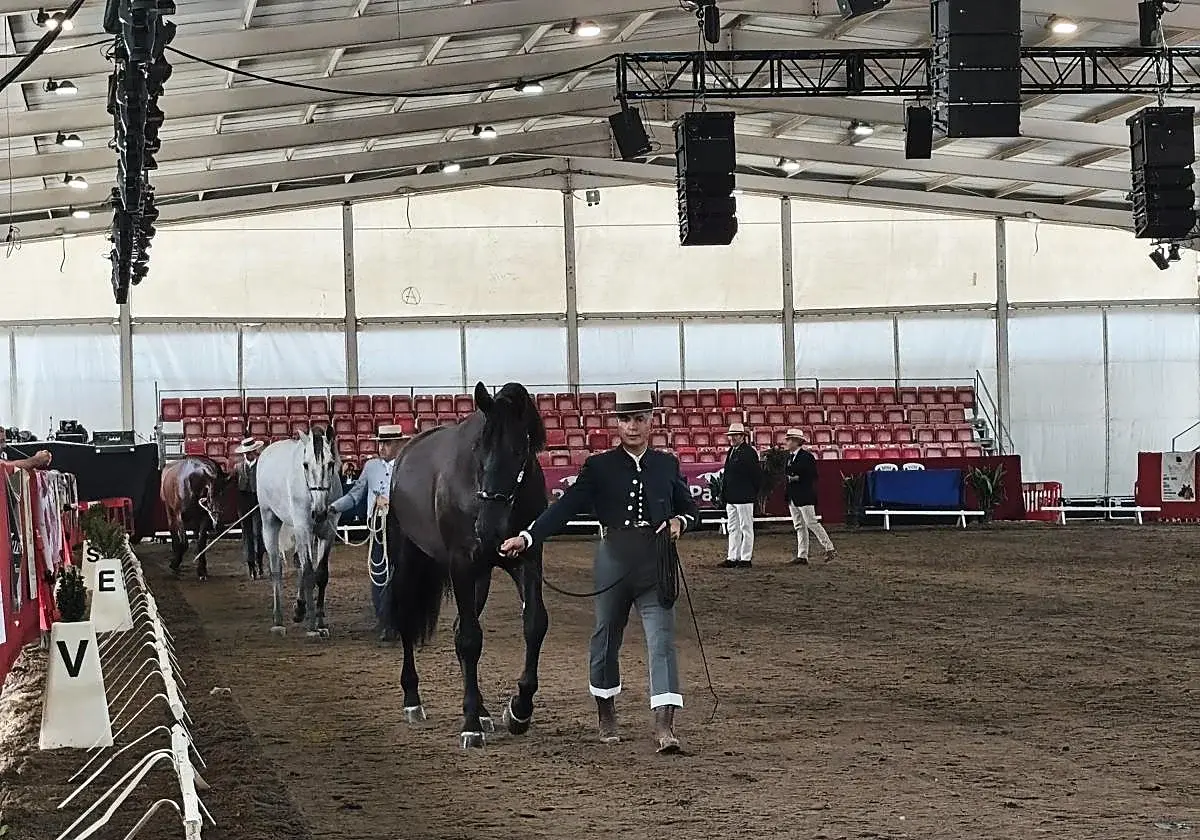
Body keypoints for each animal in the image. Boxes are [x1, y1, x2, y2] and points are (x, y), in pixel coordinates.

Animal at [255, 426, 343, 638]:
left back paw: (299, 609)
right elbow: (310, 573)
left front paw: (320, 621)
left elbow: (321, 574)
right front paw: (312, 626)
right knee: (276, 568)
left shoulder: (327, 533)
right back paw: (278, 620)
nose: (319, 513)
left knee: (300, 564)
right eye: (305, 465)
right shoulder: (303, 527)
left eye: (331, 464)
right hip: (269, 521)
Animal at [379, 380, 550, 749]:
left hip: (480, 577)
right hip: (410, 561)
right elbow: (470, 640)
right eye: (478, 449)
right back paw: (413, 700)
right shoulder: (461, 564)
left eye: (520, 451)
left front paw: (518, 710)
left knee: (459, 625)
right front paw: (470, 724)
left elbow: (534, 624)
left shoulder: (526, 558)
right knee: (407, 621)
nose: (488, 529)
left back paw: (484, 712)